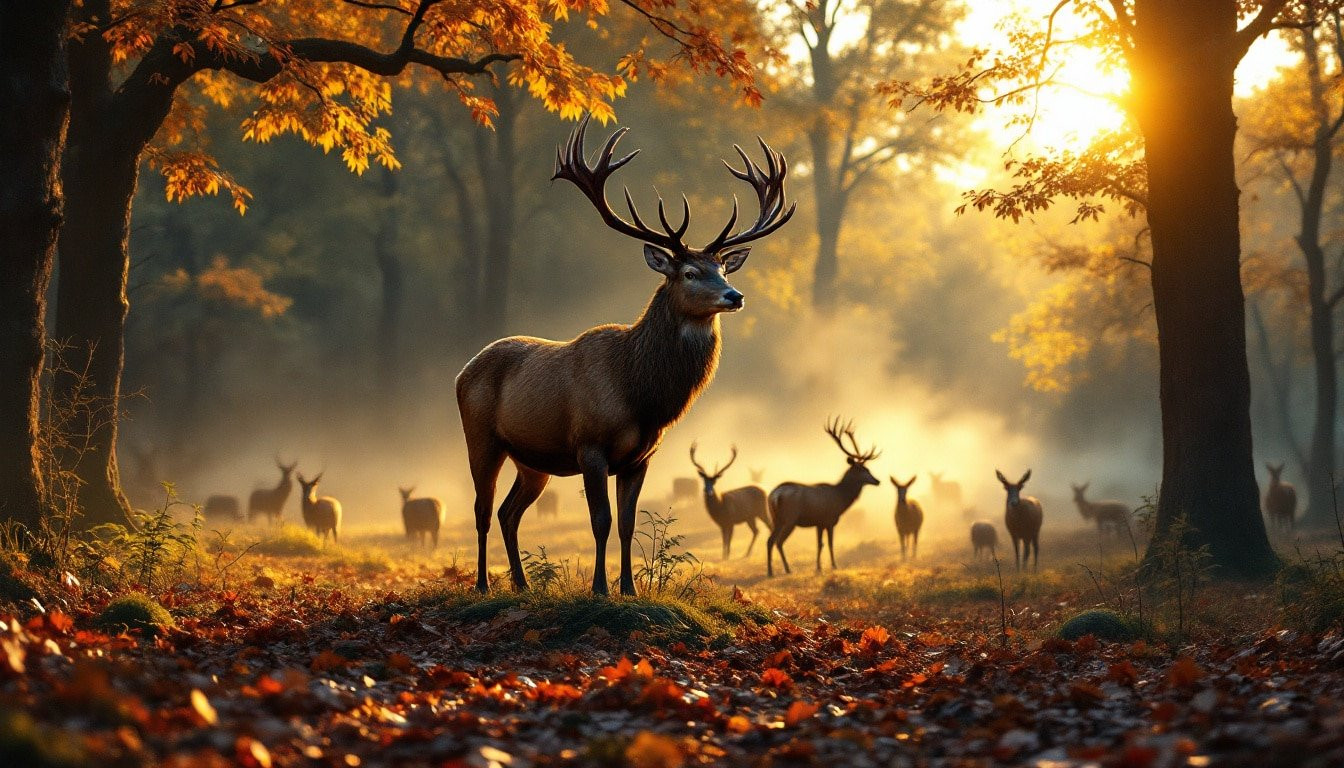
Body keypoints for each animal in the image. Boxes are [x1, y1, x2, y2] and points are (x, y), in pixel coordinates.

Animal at [455, 116, 794, 596]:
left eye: (723, 268)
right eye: (689, 272)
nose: (735, 295)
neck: (640, 395)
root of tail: (463, 370)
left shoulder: (640, 457)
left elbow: (628, 524)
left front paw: (629, 589)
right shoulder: (590, 445)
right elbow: (600, 521)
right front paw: (600, 588)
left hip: (532, 461)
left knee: (509, 512)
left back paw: (522, 585)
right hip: (481, 437)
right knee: (482, 510)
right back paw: (484, 585)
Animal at [766, 419, 881, 576]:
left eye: (867, 469)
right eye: (863, 469)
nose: (877, 481)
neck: (841, 499)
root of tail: (775, 495)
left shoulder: (819, 523)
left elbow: (819, 544)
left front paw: (819, 567)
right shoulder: (829, 520)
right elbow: (830, 544)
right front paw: (834, 565)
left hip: (775, 518)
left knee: (769, 541)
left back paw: (770, 571)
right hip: (790, 518)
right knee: (778, 541)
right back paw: (787, 569)